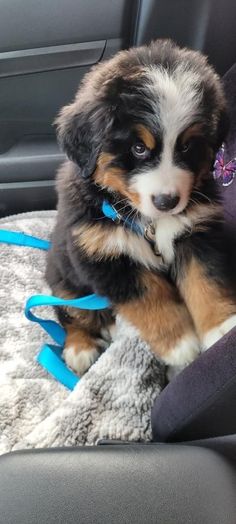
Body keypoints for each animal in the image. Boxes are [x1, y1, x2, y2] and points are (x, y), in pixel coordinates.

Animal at [45, 41, 236, 376]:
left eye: (187, 146)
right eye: (138, 148)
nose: (167, 202)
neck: (149, 221)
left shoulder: (197, 233)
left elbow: (206, 280)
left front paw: (221, 327)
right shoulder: (103, 255)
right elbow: (149, 298)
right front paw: (179, 345)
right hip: (63, 280)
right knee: (72, 316)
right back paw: (79, 348)